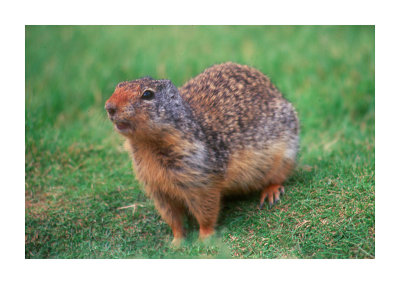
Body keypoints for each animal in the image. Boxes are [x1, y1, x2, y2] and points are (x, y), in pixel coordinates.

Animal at [104, 62, 298, 244]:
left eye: (147, 94)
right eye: (118, 86)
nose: (109, 107)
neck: (148, 145)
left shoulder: (200, 178)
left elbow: (206, 210)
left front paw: (204, 238)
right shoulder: (156, 188)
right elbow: (172, 216)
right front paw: (176, 241)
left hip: (285, 152)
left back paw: (271, 193)